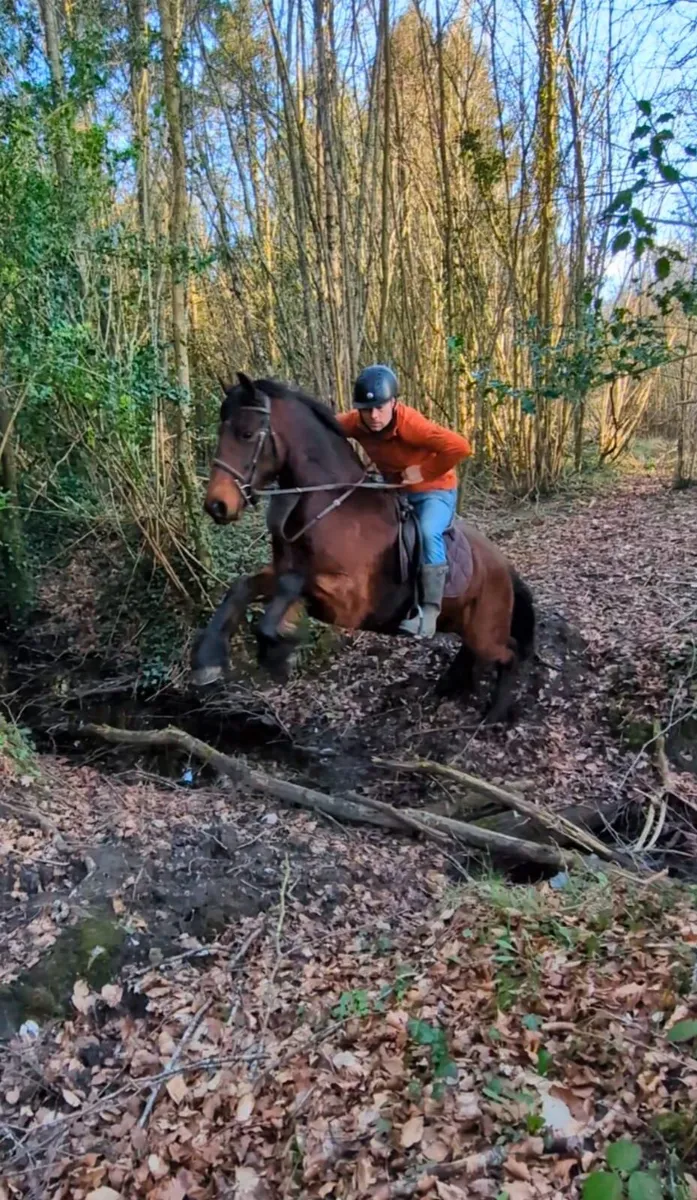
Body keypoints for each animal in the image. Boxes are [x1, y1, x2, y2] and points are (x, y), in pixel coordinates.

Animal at [192, 373, 535, 722]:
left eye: (246, 434)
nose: (216, 506)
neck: (330, 505)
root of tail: (504, 566)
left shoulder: (349, 602)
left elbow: (293, 584)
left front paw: (278, 651)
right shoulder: (283, 570)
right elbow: (242, 587)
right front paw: (209, 661)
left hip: (485, 629)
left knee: (508, 653)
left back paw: (495, 713)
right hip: (464, 624)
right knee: (475, 651)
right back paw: (452, 685)